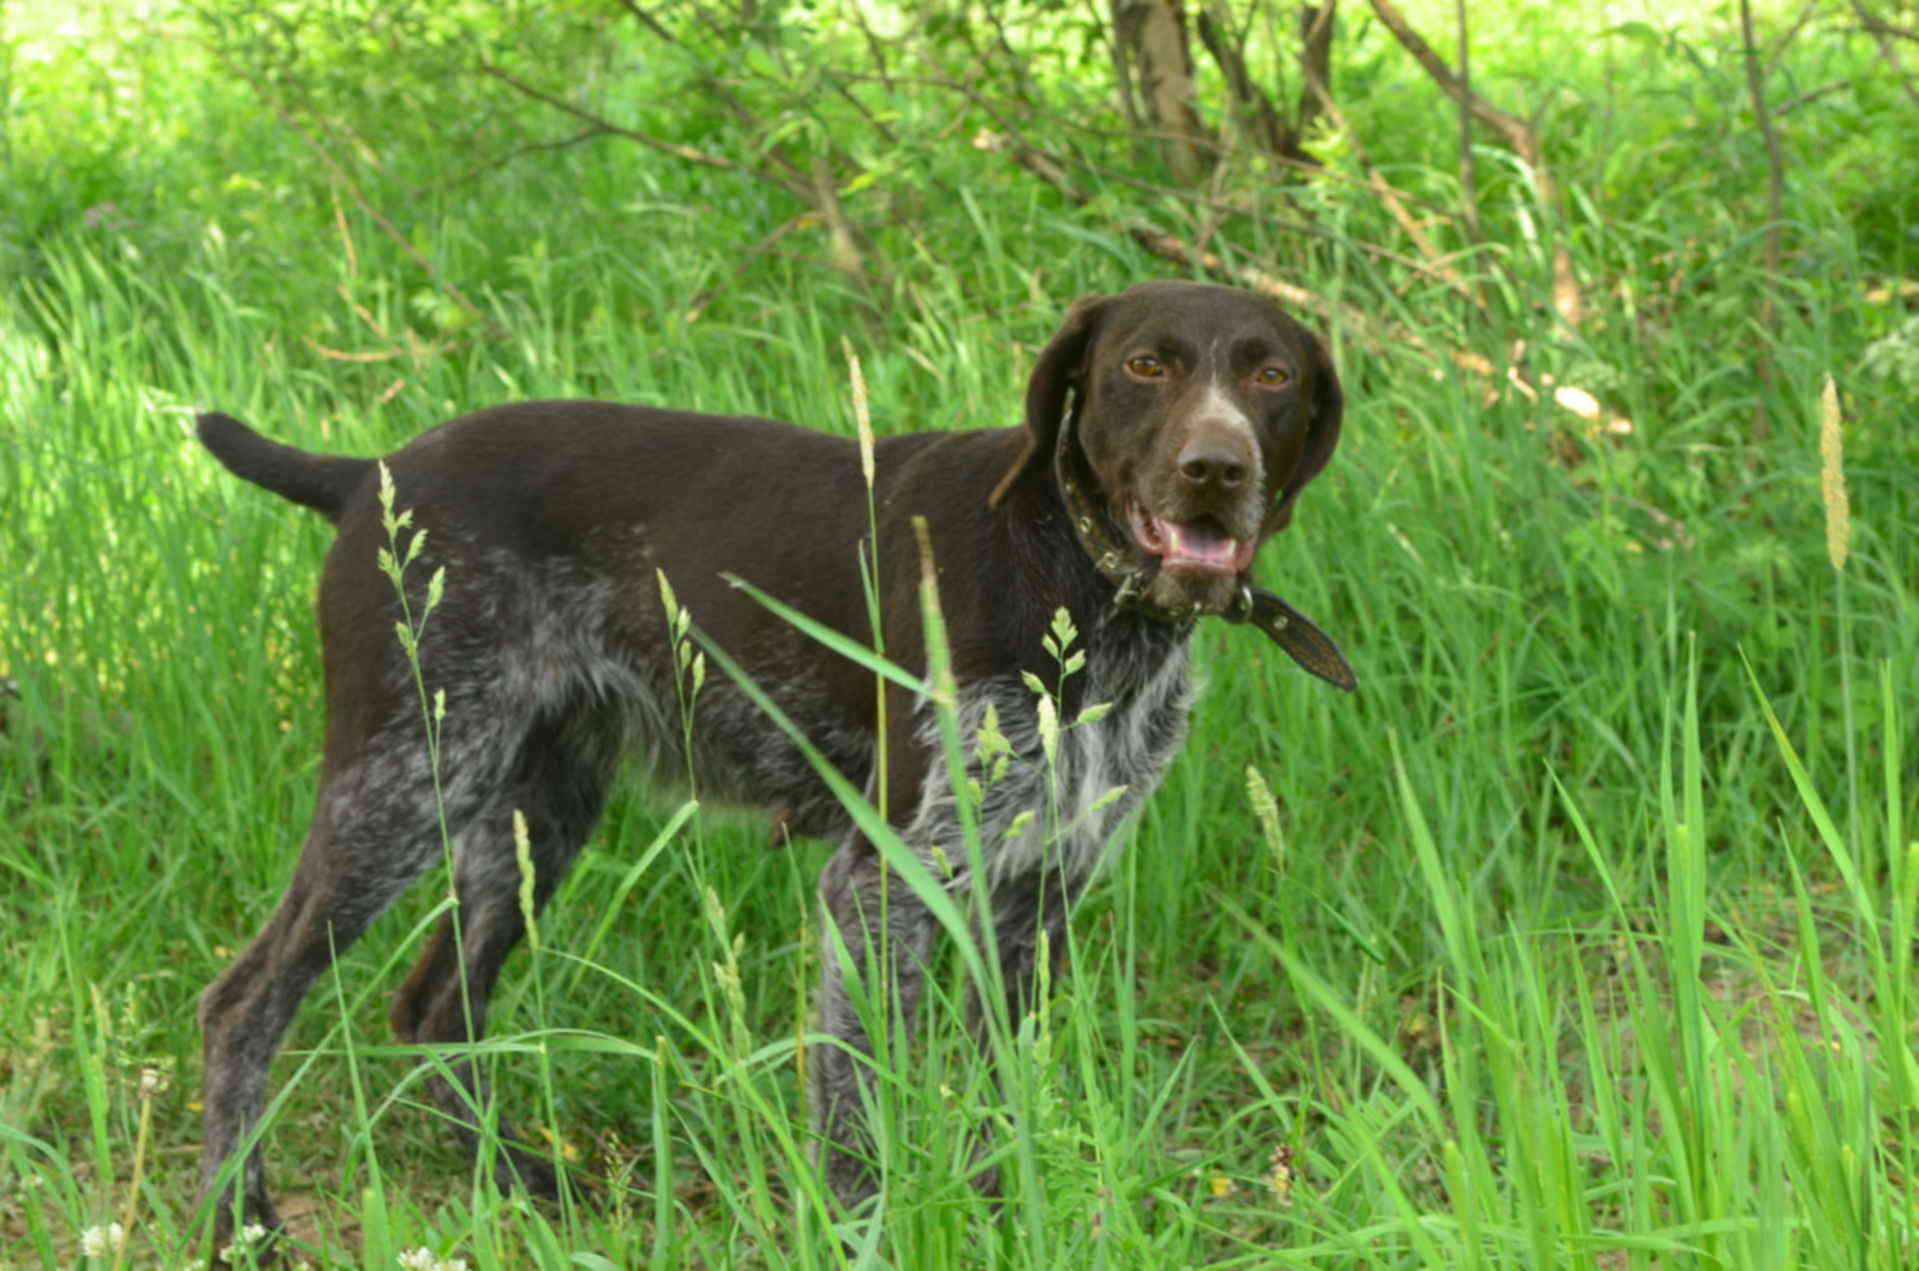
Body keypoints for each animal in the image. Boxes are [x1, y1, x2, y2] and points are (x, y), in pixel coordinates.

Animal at [190, 284, 1350, 1251]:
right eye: (1144, 365)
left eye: (1271, 376)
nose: (1216, 471)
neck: (1076, 574)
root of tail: (367, 476)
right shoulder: (881, 886)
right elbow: (854, 1105)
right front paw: (862, 1226)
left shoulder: (1035, 895)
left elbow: (1000, 1099)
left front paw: (1000, 1211)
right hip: (403, 784)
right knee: (245, 1002)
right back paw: (241, 1218)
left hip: (530, 816)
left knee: (435, 1008)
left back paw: (516, 1181)